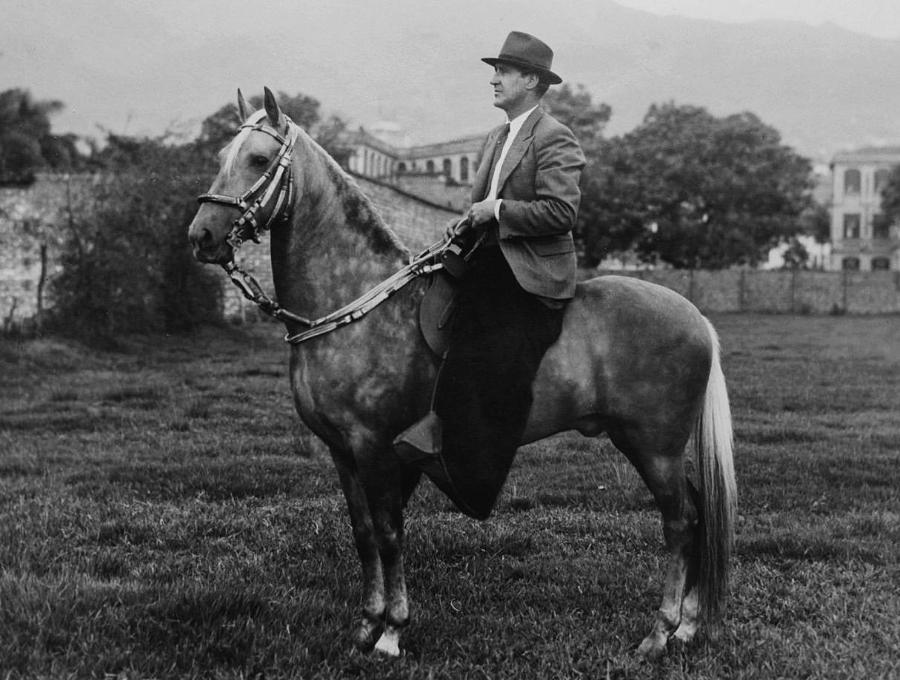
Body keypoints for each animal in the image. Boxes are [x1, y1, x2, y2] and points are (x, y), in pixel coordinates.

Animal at [188, 88, 737, 660]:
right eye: (222, 155)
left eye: (257, 158)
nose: (201, 235)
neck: (359, 300)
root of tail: (696, 316)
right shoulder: (342, 450)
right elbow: (363, 533)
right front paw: (365, 625)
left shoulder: (374, 446)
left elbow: (389, 533)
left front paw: (391, 631)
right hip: (658, 448)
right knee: (698, 515)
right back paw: (688, 625)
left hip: (653, 446)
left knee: (681, 521)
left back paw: (660, 632)